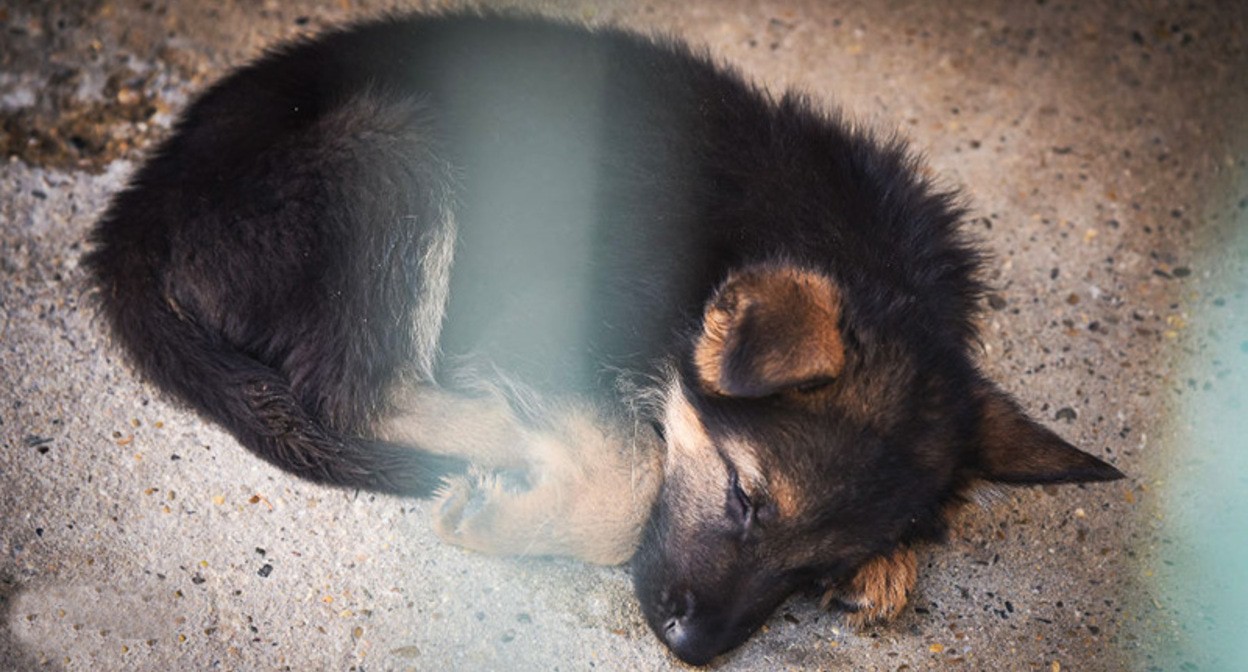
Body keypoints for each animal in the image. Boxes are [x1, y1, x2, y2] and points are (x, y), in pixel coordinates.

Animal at [85, 12, 1124, 665]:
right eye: (747, 498)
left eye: (812, 571)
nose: (691, 652)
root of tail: (146, 203)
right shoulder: (538, 320)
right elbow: (636, 475)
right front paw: (519, 505)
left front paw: (892, 563)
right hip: (391, 153)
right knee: (358, 393)